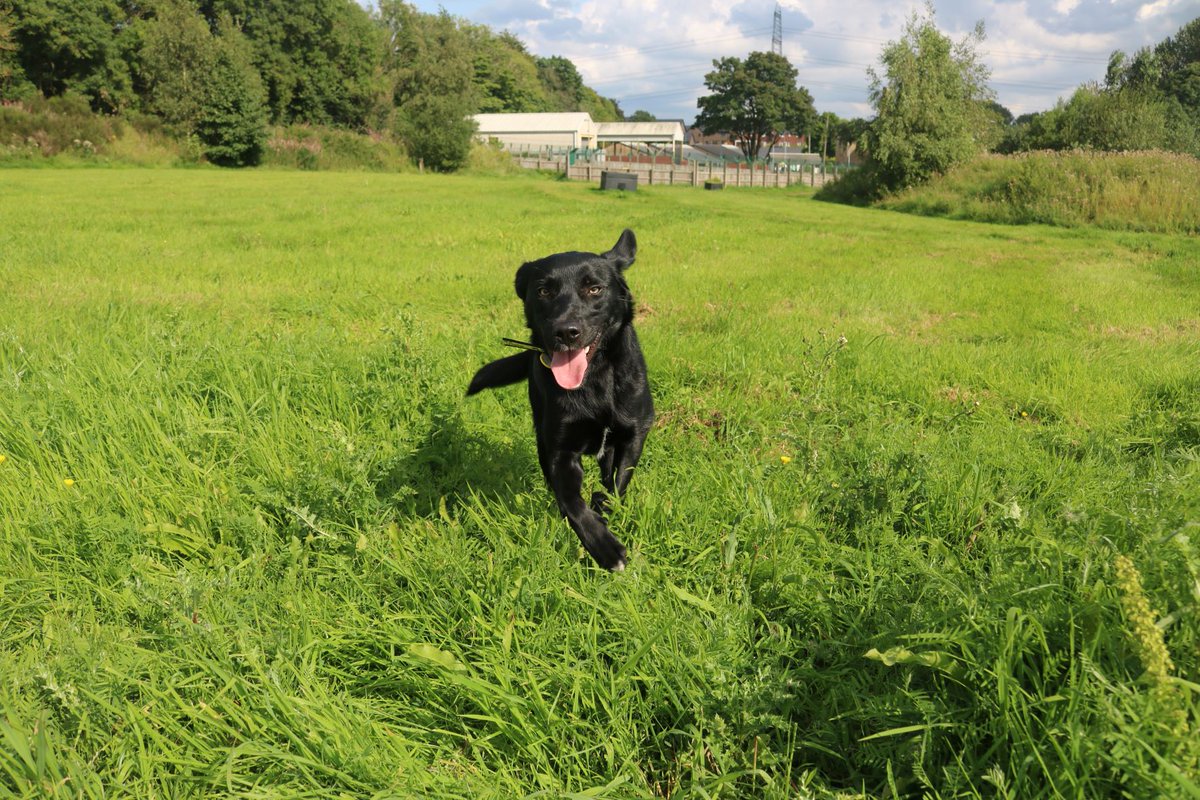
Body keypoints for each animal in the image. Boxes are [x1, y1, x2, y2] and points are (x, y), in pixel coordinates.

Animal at [468, 227, 657, 573]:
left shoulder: (634, 434)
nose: (566, 332)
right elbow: (571, 502)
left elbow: (617, 487)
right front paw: (605, 548)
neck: (594, 380)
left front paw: (604, 506)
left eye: (594, 288)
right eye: (543, 291)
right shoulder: (560, 449)